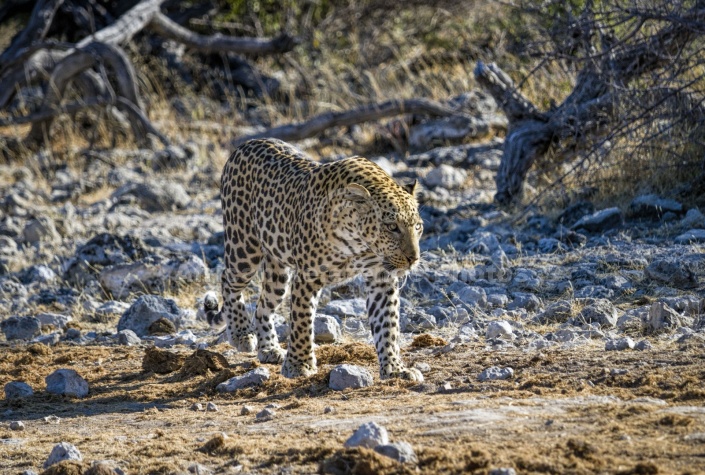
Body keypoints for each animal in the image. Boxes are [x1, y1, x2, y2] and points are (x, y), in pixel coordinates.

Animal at [204, 138, 424, 384]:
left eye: (418, 226)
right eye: (392, 227)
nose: (413, 259)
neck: (361, 244)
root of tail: (247, 143)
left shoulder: (381, 278)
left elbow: (387, 325)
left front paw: (395, 369)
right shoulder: (308, 277)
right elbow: (301, 322)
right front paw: (299, 365)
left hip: (278, 272)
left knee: (263, 306)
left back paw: (270, 349)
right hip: (243, 249)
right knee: (228, 280)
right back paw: (241, 333)